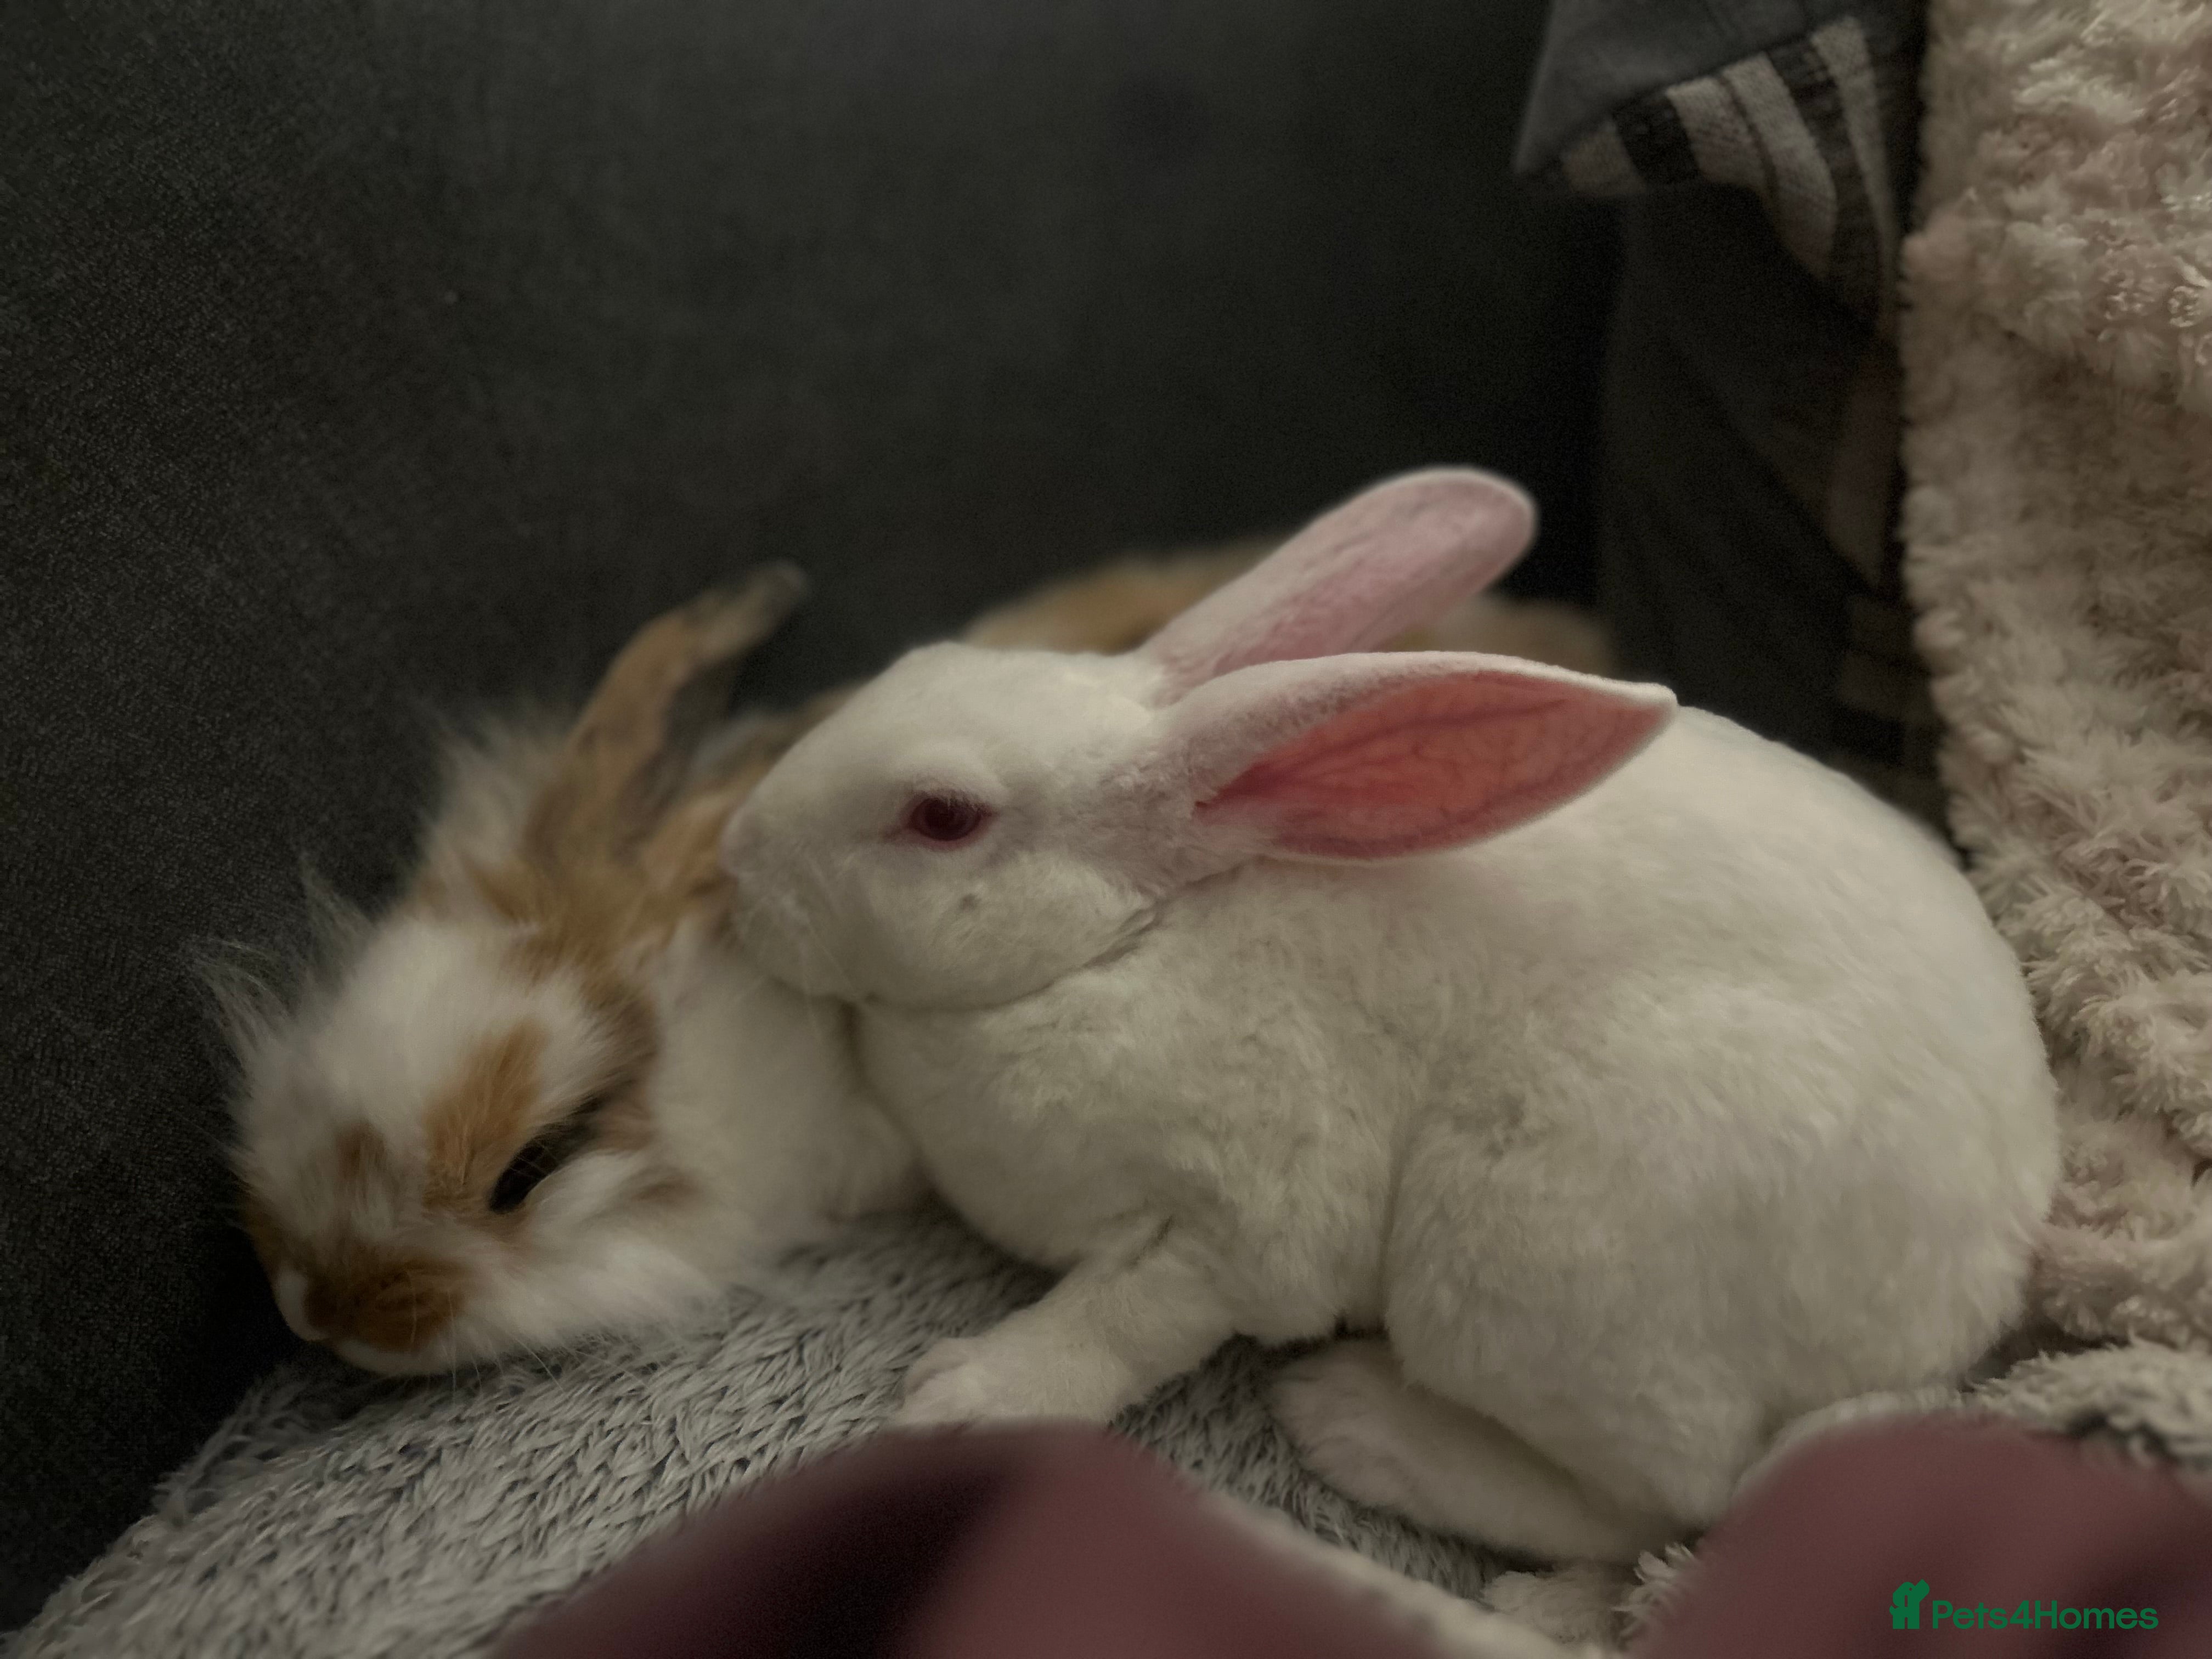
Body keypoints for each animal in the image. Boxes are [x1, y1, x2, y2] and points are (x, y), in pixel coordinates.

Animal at [717, 468, 2061, 1564]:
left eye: (941, 817)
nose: (737, 860)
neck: (1131, 937)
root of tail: (1975, 1298)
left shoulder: (1229, 1228)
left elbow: (1117, 1325)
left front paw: (962, 1397)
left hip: (1524, 1246)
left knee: (1663, 1505)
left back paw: (1354, 1424)